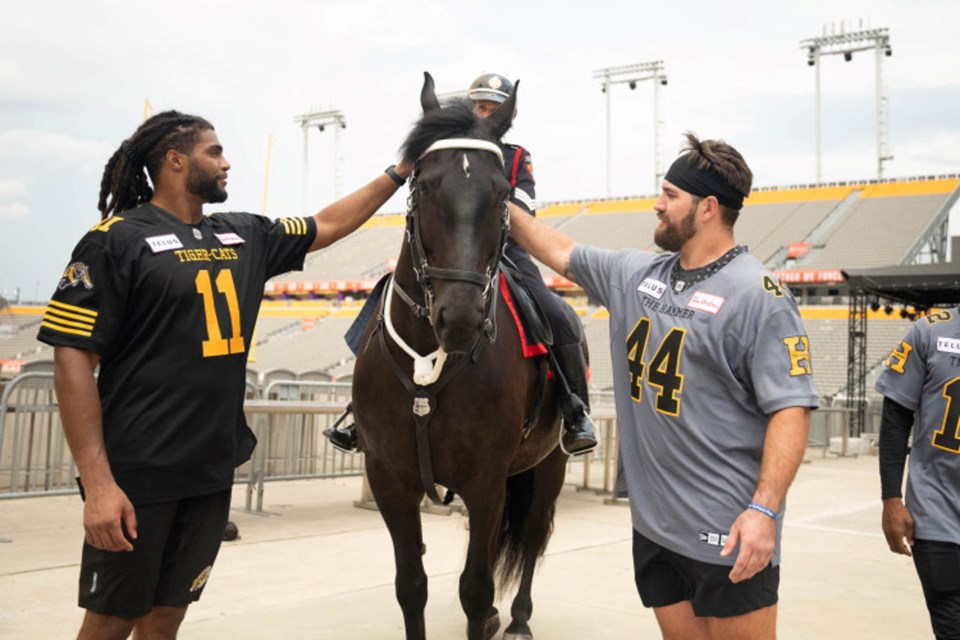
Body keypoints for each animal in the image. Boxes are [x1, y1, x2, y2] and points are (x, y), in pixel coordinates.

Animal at [354, 72, 572, 636]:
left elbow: (474, 589)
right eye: (424, 184)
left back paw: (517, 618)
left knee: (533, 536)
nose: (462, 320)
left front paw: (491, 611)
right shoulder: (389, 478)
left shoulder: (486, 480)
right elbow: (412, 586)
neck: (429, 363)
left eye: (502, 195)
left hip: (548, 466)